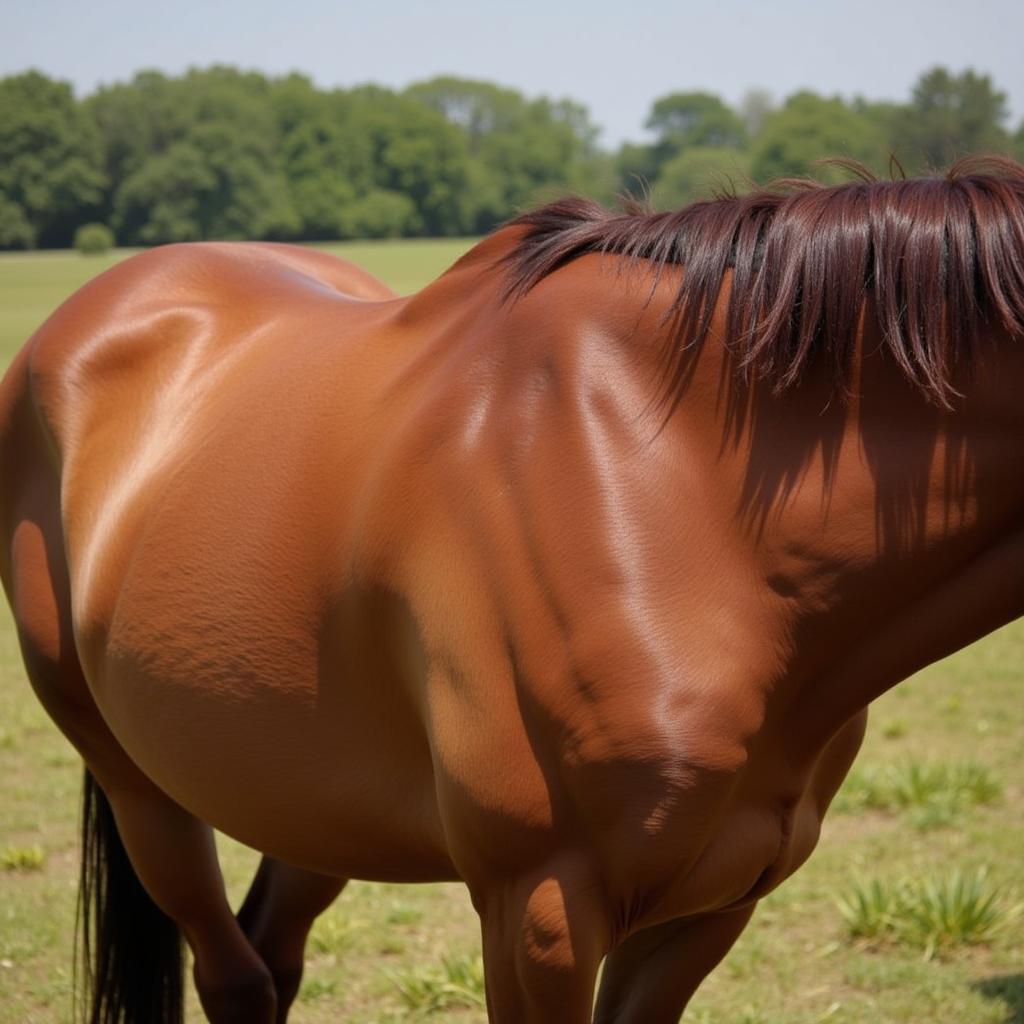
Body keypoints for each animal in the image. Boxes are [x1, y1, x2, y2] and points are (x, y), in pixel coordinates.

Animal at [2, 153, 1024, 1024]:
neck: (684, 488)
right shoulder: (540, 909)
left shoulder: (713, 904)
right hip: (142, 787)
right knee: (234, 973)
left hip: (308, 795)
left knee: (270, 953)